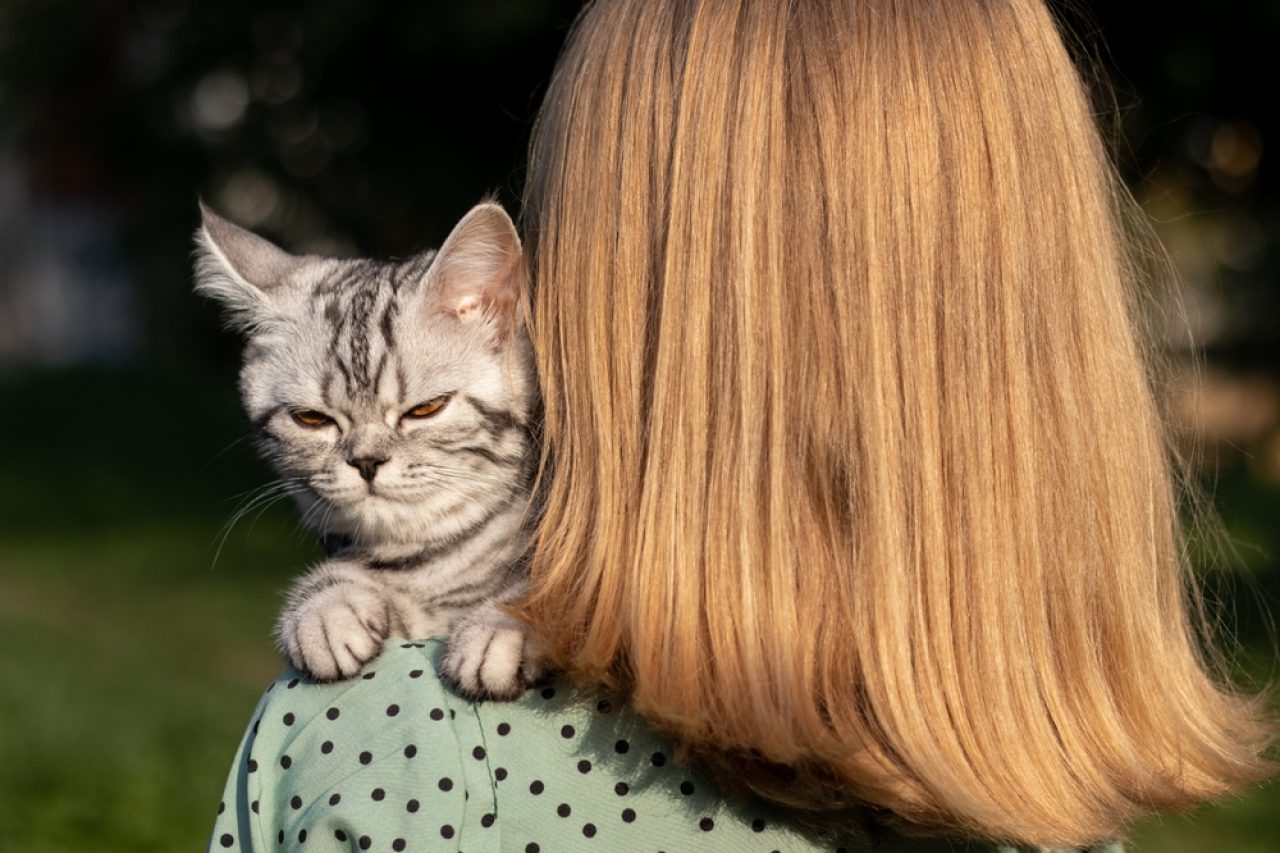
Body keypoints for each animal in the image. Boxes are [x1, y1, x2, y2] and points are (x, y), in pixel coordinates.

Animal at [193, 202, 540, 696]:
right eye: (312, 419)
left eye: (426, 409)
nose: (366, 461)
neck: (427, 566)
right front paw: (324, 606)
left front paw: (499, 625)